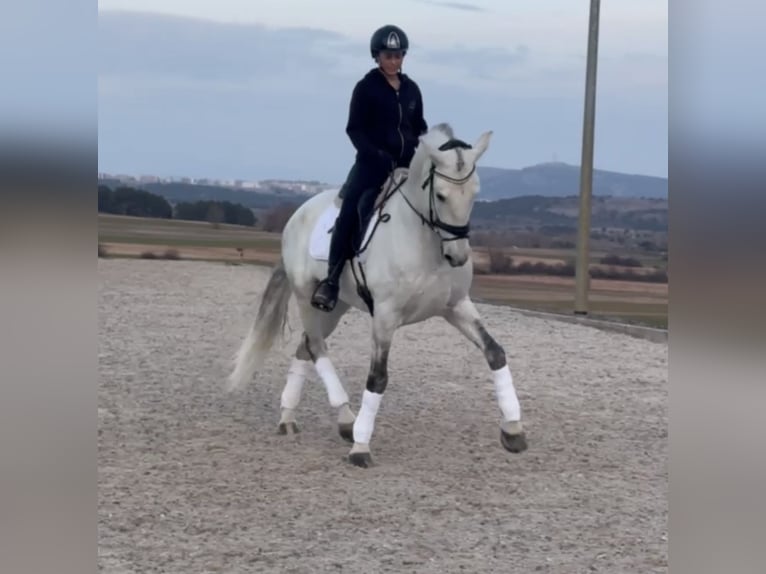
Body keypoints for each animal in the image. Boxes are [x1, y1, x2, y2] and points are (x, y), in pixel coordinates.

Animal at [226, 123, 528, 467]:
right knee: (316, 346)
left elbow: (495, 352)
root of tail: (296, 215)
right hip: (306, 298)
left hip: (335, 307)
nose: (458, 256)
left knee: (305, 347)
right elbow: (378, 378)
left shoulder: (456, 306)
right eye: (440, 195)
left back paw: (291, 416)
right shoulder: (385, 315)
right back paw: (346, 420)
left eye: (475, 193)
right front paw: (361, 446)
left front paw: (513, 430)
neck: (425, 241)